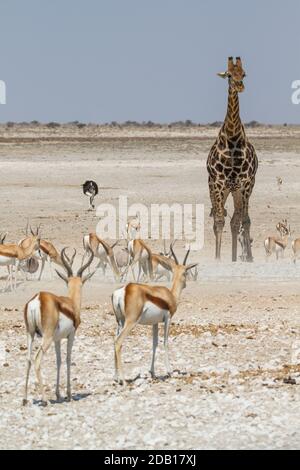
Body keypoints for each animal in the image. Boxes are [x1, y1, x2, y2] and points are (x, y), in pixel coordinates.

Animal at [22, 248, 94, 406]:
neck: (71, 304)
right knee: (37, 360)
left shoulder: (57, 339)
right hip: (46, 338)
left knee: (28, 359)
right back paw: (44, 401)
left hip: (30, 334)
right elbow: (67, 359)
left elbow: (59, 361)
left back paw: (24, 399)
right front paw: (68, 394)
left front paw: (58, 394)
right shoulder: (71, 335)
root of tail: (38, 298)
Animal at [206, 57, 258, 262]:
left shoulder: (245, 183)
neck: (233, 139)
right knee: (219, 218)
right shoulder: (219, 183)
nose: (240, 86)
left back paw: (237, 258)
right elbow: (219, 220)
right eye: (228, 75)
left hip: (238, 190)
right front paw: (217, 258)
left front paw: (248, 258)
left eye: (244, 73)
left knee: (237, 220)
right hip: (218, 188)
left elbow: (244, 220)